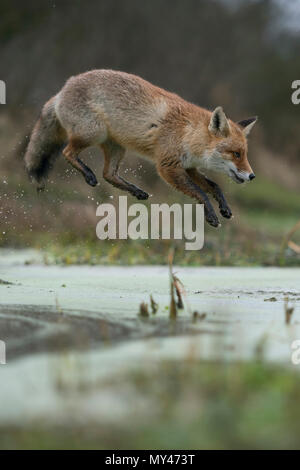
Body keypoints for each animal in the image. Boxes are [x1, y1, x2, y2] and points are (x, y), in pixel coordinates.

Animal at [24, 68, 256, 228]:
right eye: (236, 154)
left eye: (244, 154)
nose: (252, 176)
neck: (187, 133)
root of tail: (62, 89)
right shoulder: (167, 166)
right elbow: (201, 192)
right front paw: (211, 215)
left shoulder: (188, 167)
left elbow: (214, 186)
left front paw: (224, 208)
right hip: (93, 133)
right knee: (68, 153)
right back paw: (89, 175)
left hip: (117, 147)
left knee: (109, 174)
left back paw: (137, 191)